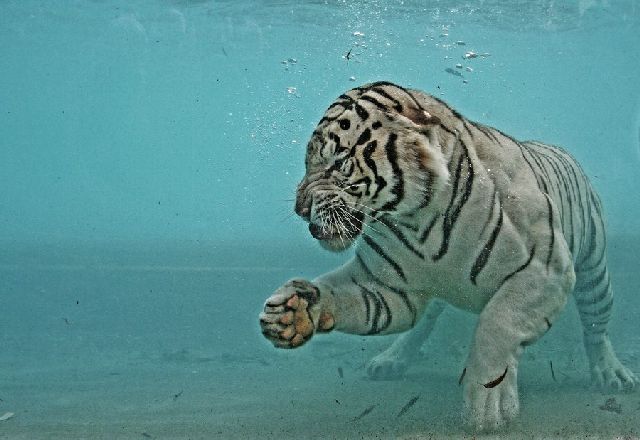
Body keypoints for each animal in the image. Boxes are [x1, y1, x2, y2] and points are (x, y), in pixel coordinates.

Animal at [258, 81, 636, 432]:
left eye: (338, 163)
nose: (300, 209)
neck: (417, 220)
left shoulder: (546, 271)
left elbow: (497, 323)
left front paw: (487, 406)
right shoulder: (385, 284)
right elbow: (337, 293)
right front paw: (292, 311)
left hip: (594, 272)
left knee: (596, 328)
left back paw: (611, 374)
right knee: (419, 328)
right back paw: (390, 360)